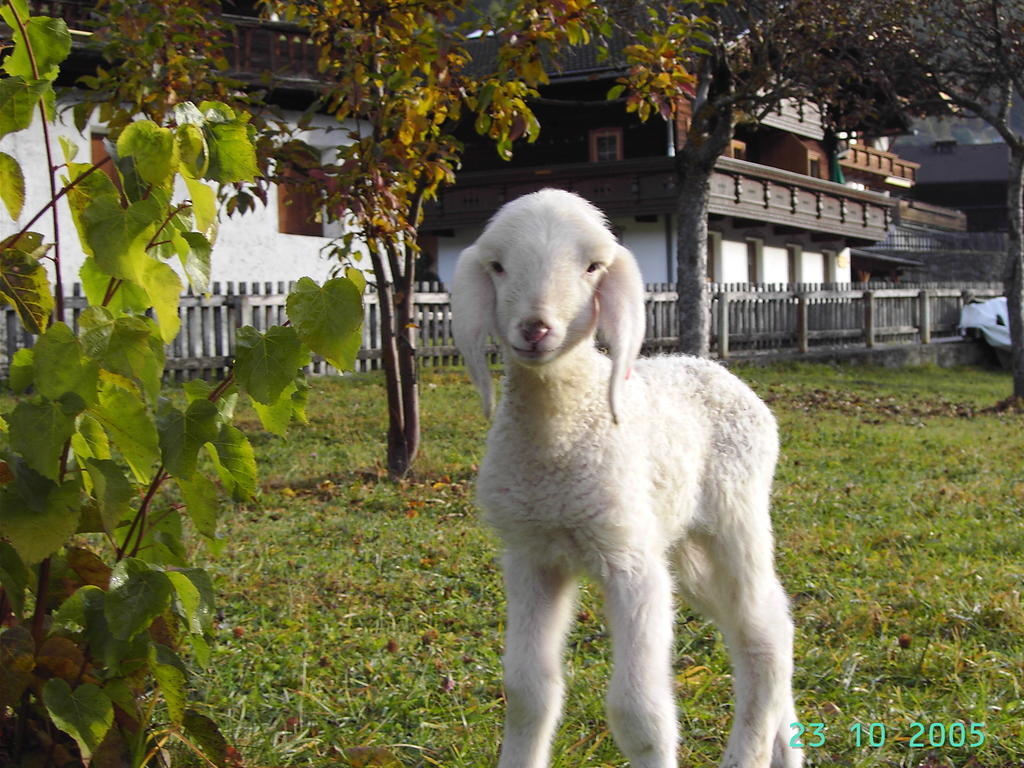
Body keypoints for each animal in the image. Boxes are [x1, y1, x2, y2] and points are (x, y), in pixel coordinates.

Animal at [454, 188, 798, 768]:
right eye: (498, 266)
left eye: (593, 267)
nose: (535, 329)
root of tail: (710, 366)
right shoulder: (531, 556)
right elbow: (528, 692)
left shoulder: (631, 561)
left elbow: (639, 714)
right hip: (682, 546)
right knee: (758, 619)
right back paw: (786, 748)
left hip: (737, 515)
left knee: (765, 635)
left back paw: (748, 753)